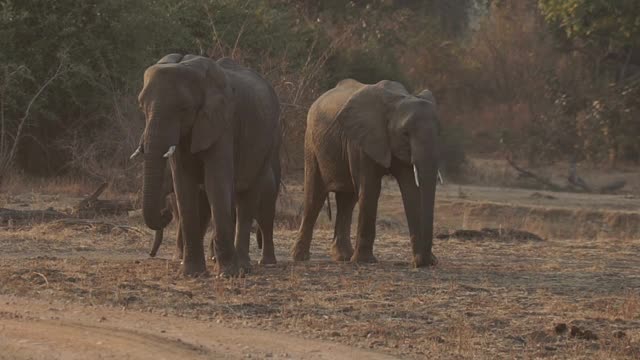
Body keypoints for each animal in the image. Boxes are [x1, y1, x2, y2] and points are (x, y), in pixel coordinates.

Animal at [134, 54, 280, 278]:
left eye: (184, 108)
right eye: (142, 107)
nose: (165, 214)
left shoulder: (222, 124)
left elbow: (216, 182)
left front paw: (228, 273)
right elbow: (184, 187)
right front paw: (192, 273)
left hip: (267, 144)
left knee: (247, 200)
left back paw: (244, 267)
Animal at [294, 79, 440, 270]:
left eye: (439, 132)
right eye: (405, 134)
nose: (425, 262)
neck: (397, 100)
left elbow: (411, 191)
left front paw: (423, 261)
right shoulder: (360, 141)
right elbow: (370, 188)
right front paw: (365, 261)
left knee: (347, 201)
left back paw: (343, 257)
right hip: (311, 144)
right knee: (315, 197)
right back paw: (300, 257)